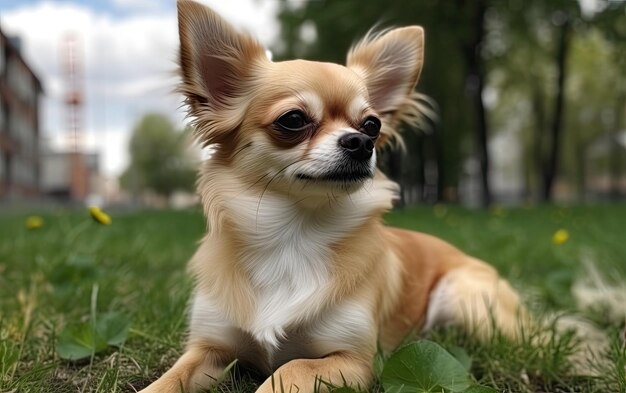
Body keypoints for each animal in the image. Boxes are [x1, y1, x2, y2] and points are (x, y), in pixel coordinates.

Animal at [138, 1, 528, 390]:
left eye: (372, 125)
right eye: (293, 120)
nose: (361, 142)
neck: (293, 235)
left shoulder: (354, 362)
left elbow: (290, 368)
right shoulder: (209, 348)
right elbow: (168, 379)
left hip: (465, 299)